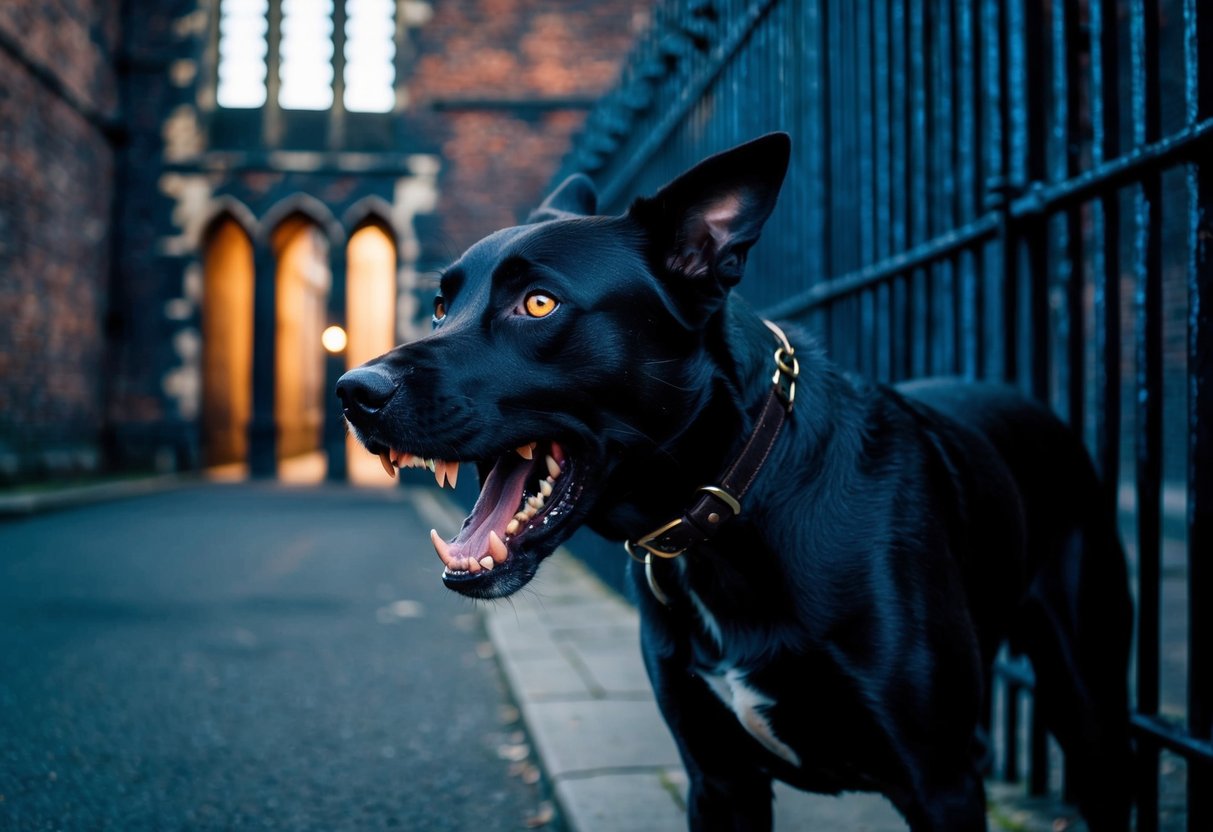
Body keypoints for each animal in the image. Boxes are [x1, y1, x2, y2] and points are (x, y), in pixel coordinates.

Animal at [337, 133, 1130, 829]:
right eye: (441, 305)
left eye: (537, 303)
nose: (353, 392)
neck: (733, 512)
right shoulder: (720, 781)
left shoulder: (941, 780)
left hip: (1087, 704)